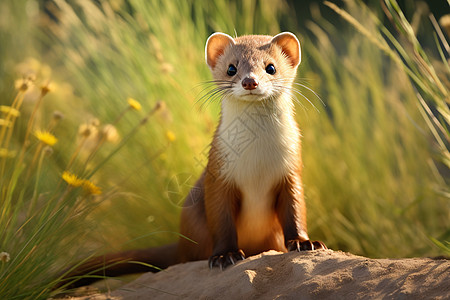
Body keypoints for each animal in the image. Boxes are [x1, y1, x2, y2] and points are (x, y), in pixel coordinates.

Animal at [59, 31, 326, 290]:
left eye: (270, 67)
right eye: (231, 68)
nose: (250, 81)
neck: (257, 161)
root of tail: (180, 243)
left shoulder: (292, 171)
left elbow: (295, 211)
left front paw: (305, 243)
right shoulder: (217, 176)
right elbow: (220, 219)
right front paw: (225, 255)